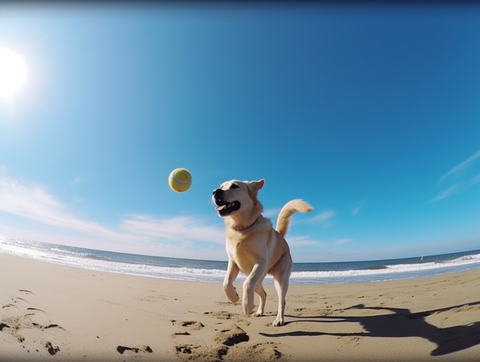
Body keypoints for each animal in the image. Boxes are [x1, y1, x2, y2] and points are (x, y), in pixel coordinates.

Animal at [212, 178, 314, 326]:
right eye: (221, 186)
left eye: (235, 186)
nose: (215, 191)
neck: (242, 229)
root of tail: (281, 236)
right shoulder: (233, 262)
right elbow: (226, 283)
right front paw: (234, 297)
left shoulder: (260, 261)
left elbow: (247, 283)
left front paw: (247, 305)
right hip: (259, 281)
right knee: (264, 294)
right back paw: (260, 311)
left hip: (280, 279)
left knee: (281, 300)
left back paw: (279, 319)